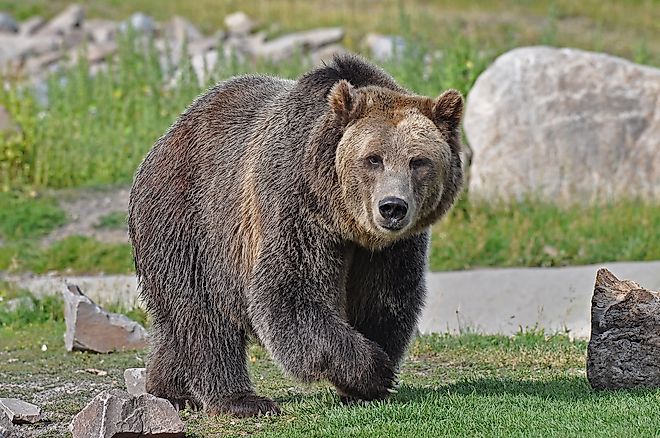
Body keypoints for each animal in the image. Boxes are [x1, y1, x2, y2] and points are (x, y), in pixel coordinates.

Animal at [128, 53, 464, 417]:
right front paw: (373, 370)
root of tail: (162, 142)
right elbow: (292, 291)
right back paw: (240, 399)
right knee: (204, 316)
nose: (392, 207)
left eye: (418, 161)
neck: (345, 220)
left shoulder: (391, 248)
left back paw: (170, 390)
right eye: (373, 159)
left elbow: (385, 296)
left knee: (174, 324)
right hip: (190, 223)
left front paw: (367, 379)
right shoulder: (297, 205)